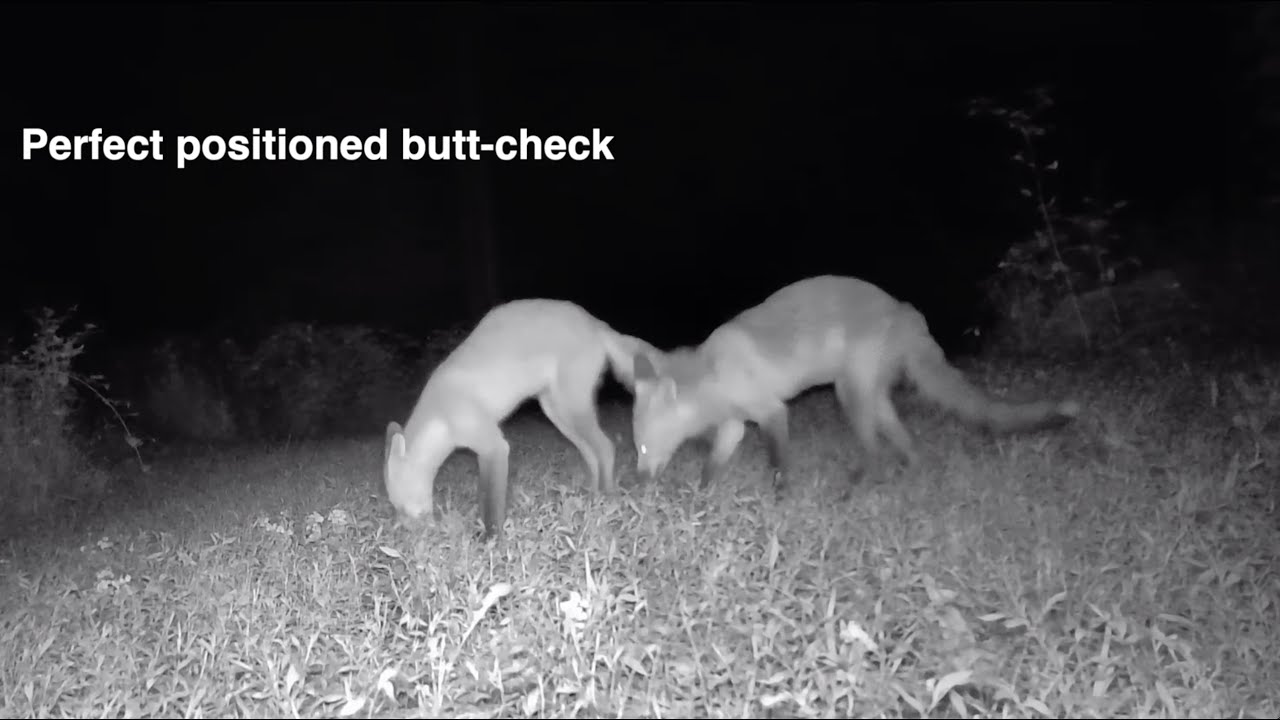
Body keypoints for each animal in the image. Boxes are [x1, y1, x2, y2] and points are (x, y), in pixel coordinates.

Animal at [384, 298, 660, 540]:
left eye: (401, 507)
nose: (409, 535)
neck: (441, 415)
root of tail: (595, 322)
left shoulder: (494, 446)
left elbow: (491, 504)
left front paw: (491, 541)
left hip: (571, 407)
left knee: (606, 447)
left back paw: (609, 496)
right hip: (558, 412)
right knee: (592, 453)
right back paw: (594, 496)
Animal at [630, 275, 1081, 493]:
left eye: (643, 447)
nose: (637, 481)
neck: (713, 375)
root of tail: (906, 310)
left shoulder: (771, 411)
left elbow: (779, 463)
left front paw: (780, 497)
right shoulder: (735, 423)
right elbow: (713, 465)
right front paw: (701, 498)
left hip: (850, 393)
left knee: (875, 450)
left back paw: (854, 489)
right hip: (873, 397)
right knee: (905, 444)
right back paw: (910, 473)